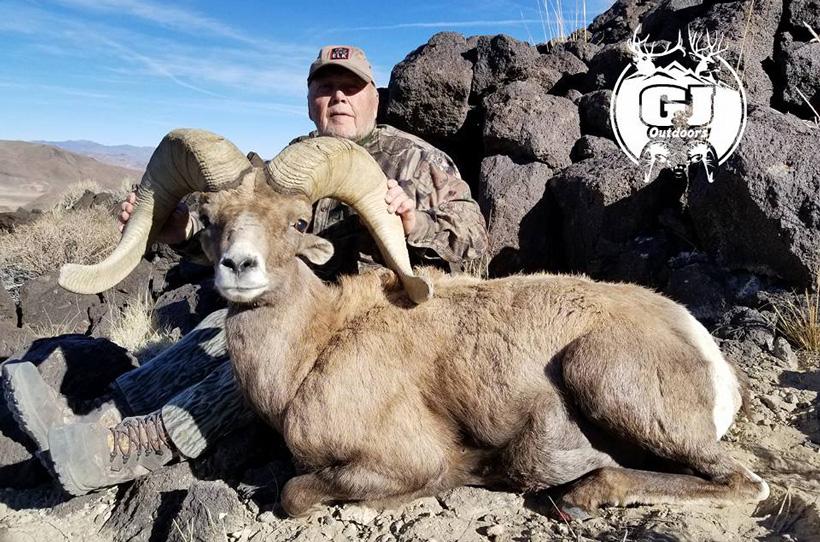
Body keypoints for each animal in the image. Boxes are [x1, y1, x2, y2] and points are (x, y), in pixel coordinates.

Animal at [60, 129, 769, 518]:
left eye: (295, 221)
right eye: (208, 219)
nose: (239, 268)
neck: (312, 352)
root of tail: (707, 356)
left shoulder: (395, 462)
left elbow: (296, 493)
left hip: (600, 376)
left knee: (741, 483)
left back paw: (584, 493)